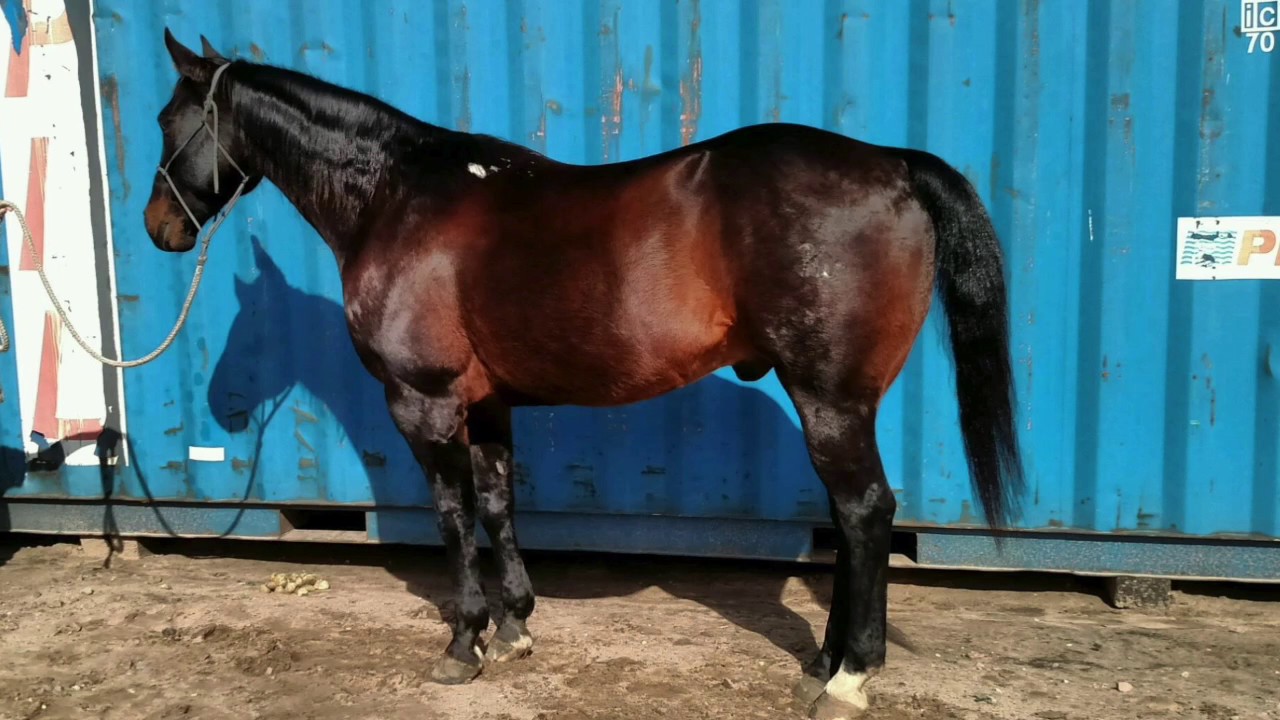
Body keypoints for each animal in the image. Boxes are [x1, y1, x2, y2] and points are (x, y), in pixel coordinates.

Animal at [145, 30, 1023, 719]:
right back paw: (823, 664)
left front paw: (463, 643)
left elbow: (453, 518)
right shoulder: (488, 404)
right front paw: (515, 627)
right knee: (848, 519)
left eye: (166, 120)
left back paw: (848, 678)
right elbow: (499, 505)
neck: (398, 197)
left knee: (867, 513)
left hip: (830, 399)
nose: (159, 229)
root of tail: (893, 166)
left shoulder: (424, 402)